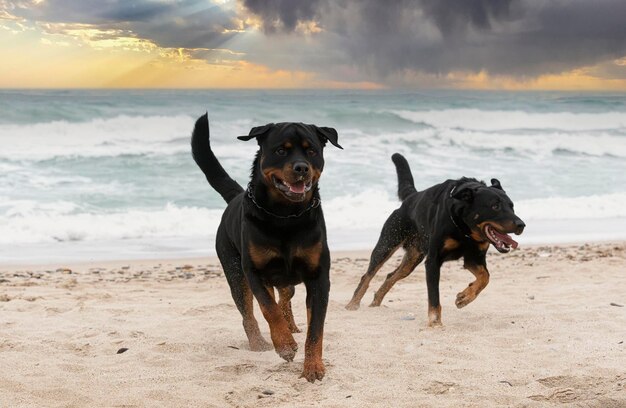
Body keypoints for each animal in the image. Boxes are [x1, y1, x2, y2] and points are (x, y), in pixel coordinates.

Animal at [190, 113, 342, 380]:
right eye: (281, 150)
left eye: (311, 151)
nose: (301, 168)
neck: (286, 216)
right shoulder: (255, 272)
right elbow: (267, 308)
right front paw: (284, 344)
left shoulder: (319, 277)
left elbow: (316, 328)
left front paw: (313, 366)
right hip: (235, 272)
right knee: (249, 313)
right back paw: (260, 342)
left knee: (286, 296)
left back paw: (291, 326)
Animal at [344, 155, 524, 326]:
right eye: (495, 206)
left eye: (512, 206)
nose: (521, 225)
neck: (464, 229)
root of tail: (411, 197)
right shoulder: (433, 260)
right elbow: (434, 295)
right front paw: (435, 321)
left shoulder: (474, 258)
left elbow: (485, 277)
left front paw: (464, 297)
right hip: (388, 242)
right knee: (368, 275)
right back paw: (352, 304)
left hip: (413, 258)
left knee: (392, 275)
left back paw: (376, 301)